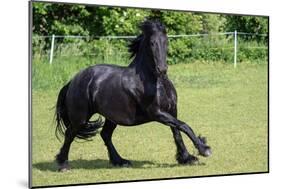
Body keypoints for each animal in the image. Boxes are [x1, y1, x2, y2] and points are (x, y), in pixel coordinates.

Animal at [55, 20, 210, 171]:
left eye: (166, 41)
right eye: (152, 43)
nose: (162, 69)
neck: (155, 82)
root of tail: (73, 80)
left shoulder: (172, 110)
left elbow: (177, 132)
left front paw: (187, 158)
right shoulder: (157, 113)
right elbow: (184, 126)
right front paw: (204, 149)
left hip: (111, 117)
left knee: (105, 135)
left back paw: (120, 161)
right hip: (81, 118)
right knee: (70, 134)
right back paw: (63, 164)